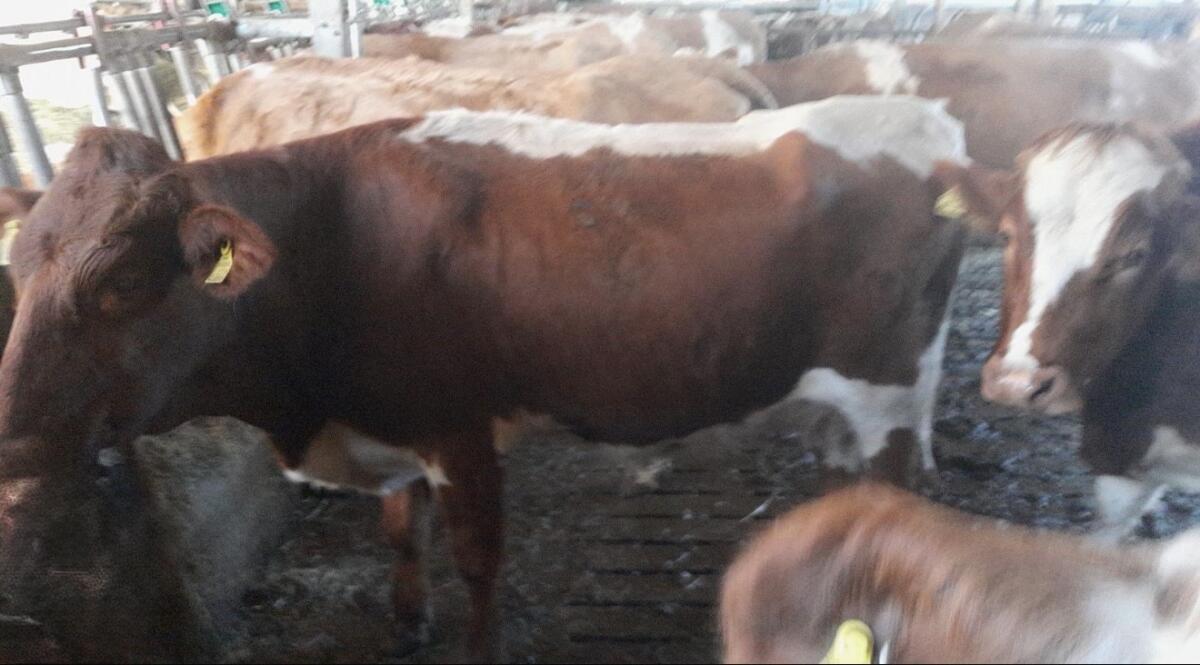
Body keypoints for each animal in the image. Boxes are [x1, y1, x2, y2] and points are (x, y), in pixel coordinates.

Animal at [0, 96, 968, 661]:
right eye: (18, 266)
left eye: (122, 281)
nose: (11, 445)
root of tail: (925, 123)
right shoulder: (388, 422)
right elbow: (400, 532)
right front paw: (406, 620)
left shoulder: (458, 428)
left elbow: (476, 557)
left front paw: (476, 643)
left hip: (888, 394)